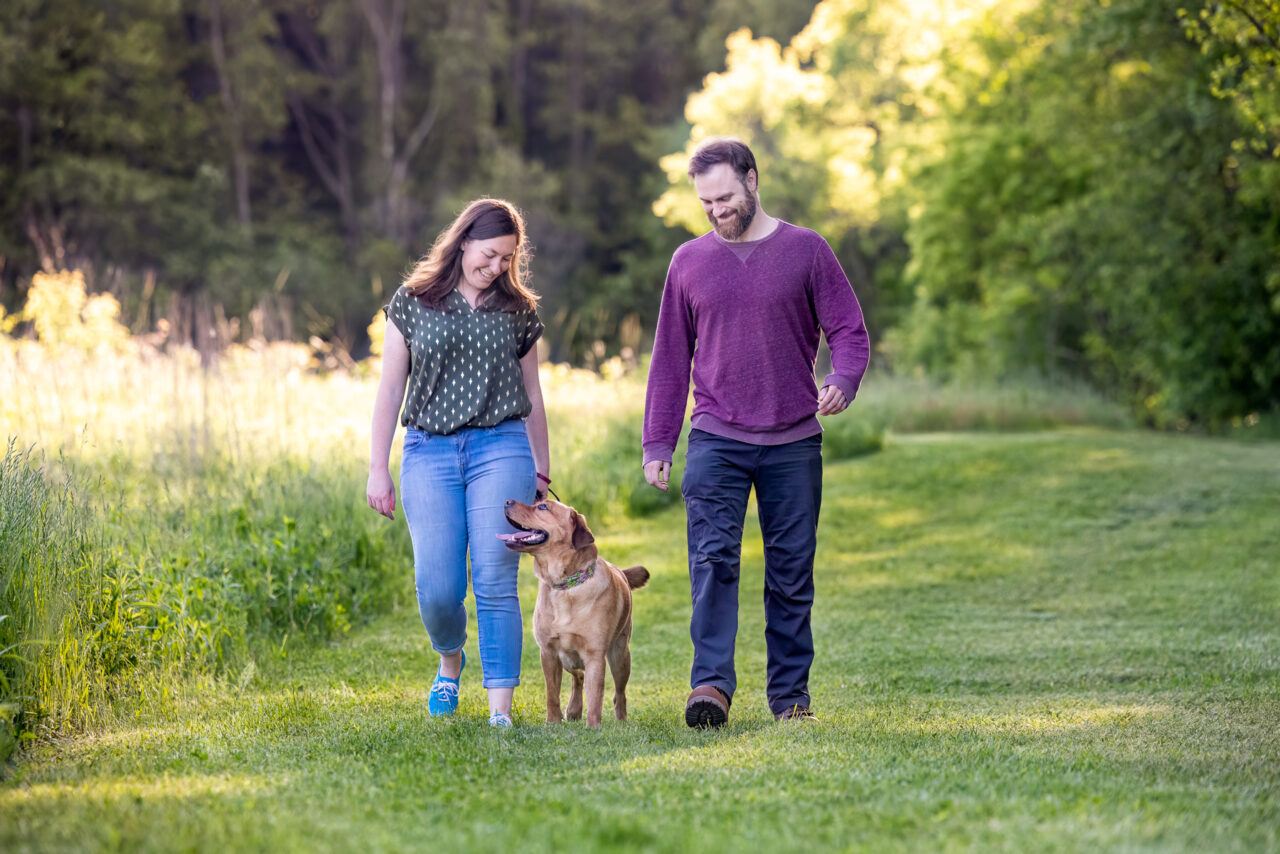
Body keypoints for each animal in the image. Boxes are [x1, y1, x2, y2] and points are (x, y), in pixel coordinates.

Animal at [494, 501, 645, 727]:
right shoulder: (548, 653)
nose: (507, 501)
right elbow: (552, 694)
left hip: (620, 656)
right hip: (567, 658)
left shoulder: (595, 656)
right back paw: (574, 709)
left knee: (619, 693)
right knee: (578, 677)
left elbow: (595, 697)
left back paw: (621, 721)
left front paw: (593, 727)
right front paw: (553, 723)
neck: (565, 586)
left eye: (543, 507)